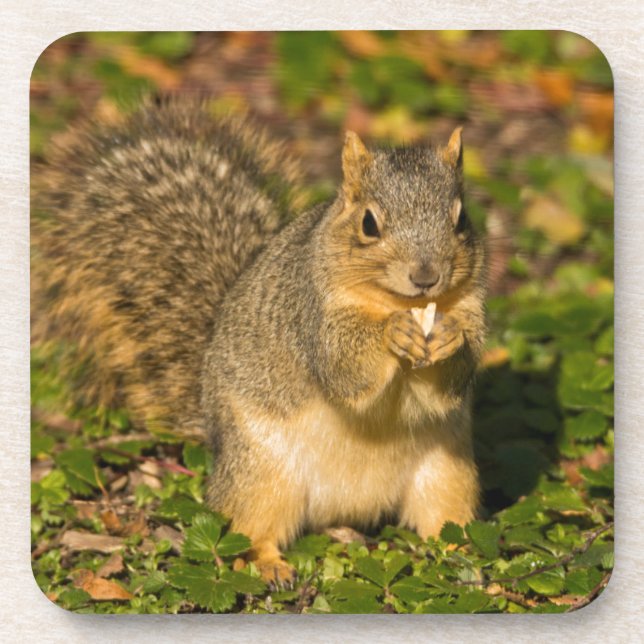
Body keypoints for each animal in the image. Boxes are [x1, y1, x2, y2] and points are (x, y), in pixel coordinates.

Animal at [32, 99, 486, 585]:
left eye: (461, 219)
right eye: (369, 224)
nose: (426, 276)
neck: (398, 302)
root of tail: (346, 508)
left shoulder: (472, 306)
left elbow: (452, 380)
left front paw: (450, 338)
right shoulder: (311, 314)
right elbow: (344, 367)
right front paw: (392, 334)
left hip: (448, 472)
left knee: (443, 517)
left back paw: (463, 551)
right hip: (260, 473)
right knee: (248, 527)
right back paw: (267, 564)